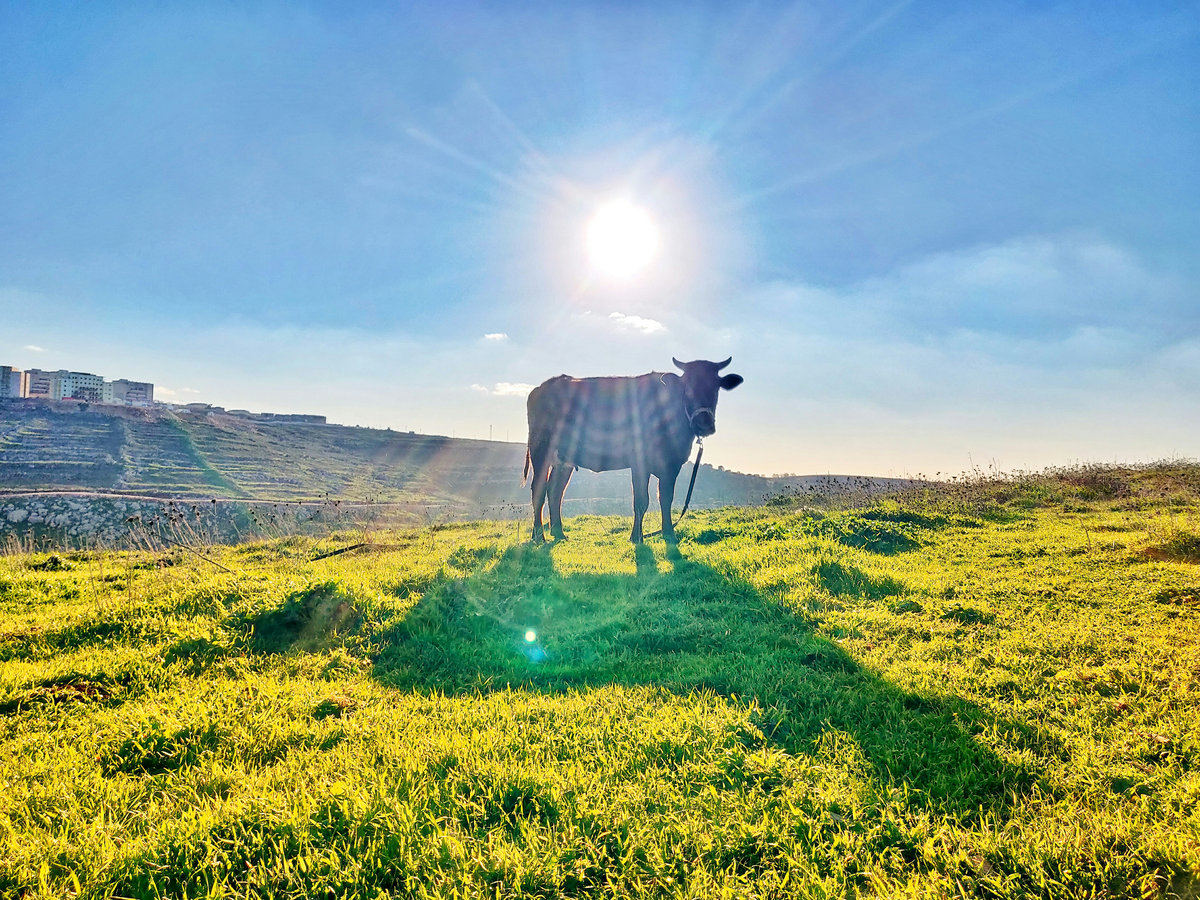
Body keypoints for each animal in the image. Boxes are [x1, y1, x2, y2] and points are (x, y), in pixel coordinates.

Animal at [523, 357, 739, 542]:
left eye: (716, 388)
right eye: (687, 388)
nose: (704, 424)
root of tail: (541, 388)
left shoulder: (672, 465)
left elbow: (666, 498)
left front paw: (669, 534)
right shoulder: (639, 462)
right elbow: (641, 501)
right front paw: (637, 537)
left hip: (563, 461)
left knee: (555, 491)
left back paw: (558, 533)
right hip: (540, 449)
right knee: (538, 490)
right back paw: (539, 536)